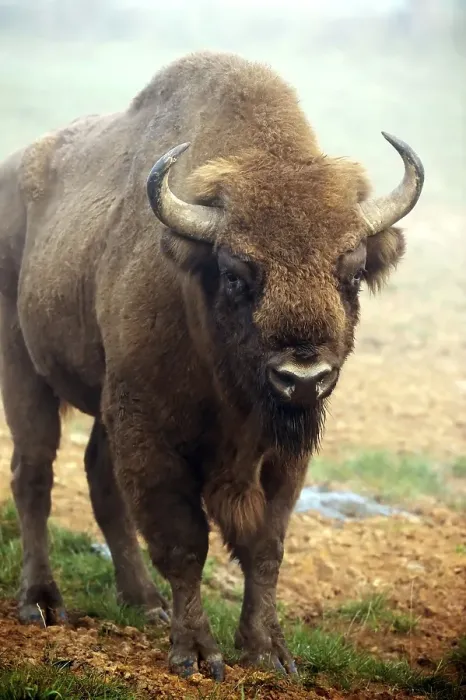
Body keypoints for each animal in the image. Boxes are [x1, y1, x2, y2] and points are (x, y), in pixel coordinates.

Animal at [0, 51, 424, 679]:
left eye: (351, 273)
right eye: (235, 274)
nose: (302, 379)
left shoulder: (282, 454)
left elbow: (265, 546)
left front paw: (270, 651)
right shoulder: (150, 431)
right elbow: (184, 542)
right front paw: (198, 654)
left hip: (102, 399)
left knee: (98, 478)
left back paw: (143, 602)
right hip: (23, 368)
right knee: (34, 475)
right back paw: (43, 603)